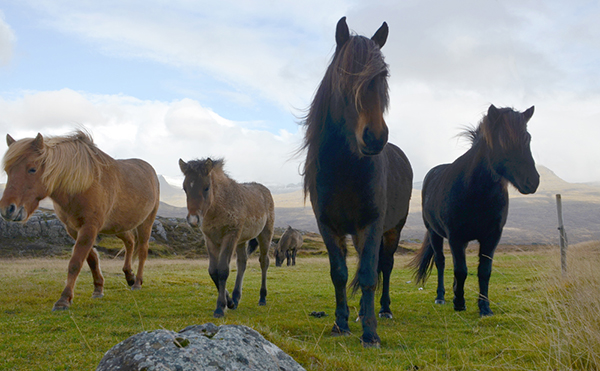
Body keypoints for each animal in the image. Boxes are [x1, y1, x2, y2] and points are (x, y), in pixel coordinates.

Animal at [0, 131, 161, 310]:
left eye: (32, 169)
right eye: (7, 170)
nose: (8, 209)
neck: (82, 185)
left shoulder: (89, 227)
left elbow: (76, 262)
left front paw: (64, 299)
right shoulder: (74, 229)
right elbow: (91, 258)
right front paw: (98, 289)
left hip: (145, 223)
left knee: (142, 250)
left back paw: (137, 282)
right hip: (119, 226)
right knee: (130, 242)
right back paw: (129, 275)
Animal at [179, 158, 276, 318]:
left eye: (206, 187)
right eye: (185, 188)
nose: (193, 220)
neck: (217, 207)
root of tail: (266, 190)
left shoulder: (230, 236)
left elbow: (223, 270)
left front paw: (220, 307)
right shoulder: (210, 239)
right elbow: (213, 271)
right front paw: (229, 301)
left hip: (265, 234)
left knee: (264, 262)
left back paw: (262, 298)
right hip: (241, 240)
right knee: (242, 262)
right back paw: (236, 298)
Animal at [300, 16, 412, 348]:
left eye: (382, 75)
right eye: (344, 74)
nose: (375, 137)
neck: (344, 169)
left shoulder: (372, 224)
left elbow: (368, 275)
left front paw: (370, 333)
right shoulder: (328, 226)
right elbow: (339, 273)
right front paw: (341, 323)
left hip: (393, 230)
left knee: (384, 267)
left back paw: (382, 310)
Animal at [412, 104, 540, 316]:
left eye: (528, 138)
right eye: (502, 141)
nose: (532, 181)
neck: (476, 192)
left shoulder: (492, 237)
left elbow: (484, 271)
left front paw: (484, 307)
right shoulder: (455, 237)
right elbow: (461, 270)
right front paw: (459, 302)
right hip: (434, 233)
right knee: (441, 262)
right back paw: (441, 297)